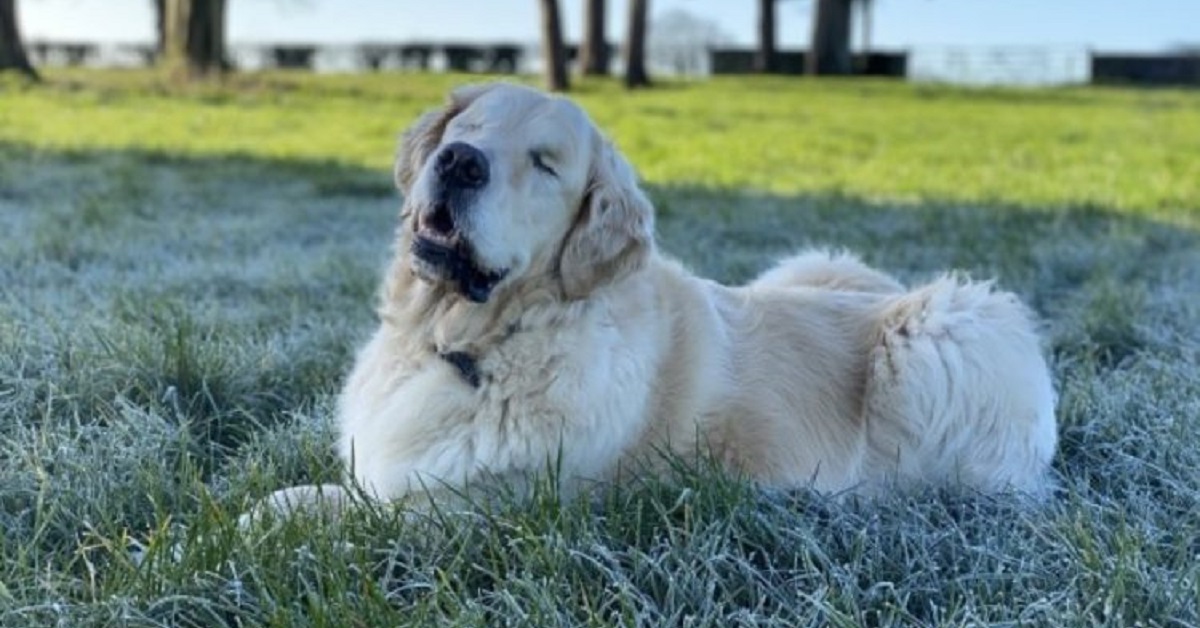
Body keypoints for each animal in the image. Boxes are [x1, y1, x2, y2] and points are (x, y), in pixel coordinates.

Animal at [250, 82, 1051, 521]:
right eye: (468, 127)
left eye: (545, 164)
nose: (458, 162)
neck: (467, 340)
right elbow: (315, 493)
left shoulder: (491, 505)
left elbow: (349, 513)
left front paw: (265, 521)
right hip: (817, 264)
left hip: (941, 335)